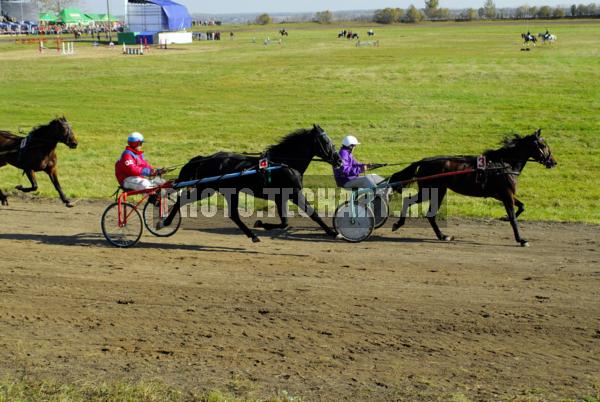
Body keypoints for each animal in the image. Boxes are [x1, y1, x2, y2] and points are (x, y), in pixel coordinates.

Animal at [161, 124, 342, 242]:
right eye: (326, 142)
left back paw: (252, 235)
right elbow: (312, 214)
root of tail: (207, 158)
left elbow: (285, 222)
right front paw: (333, 232)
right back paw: (165, 222)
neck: (284, 163)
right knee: (182, 201)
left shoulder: (282, 196)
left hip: (221, 190)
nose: (339, 160)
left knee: (232, 214)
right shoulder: (293, 193)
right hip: (207, 188)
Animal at [390, 130, 556, 247]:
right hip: (430, 190)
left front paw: (504, 218)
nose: (553, 162)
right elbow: (514, 219)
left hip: (438, 190)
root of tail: (424, 160)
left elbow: (522, 206)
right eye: (543, 145)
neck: (504, 164)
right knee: (411, 203)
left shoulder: (502, 195)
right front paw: (521, 239)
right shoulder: (506, 194)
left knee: (427, 213)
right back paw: (399, 224)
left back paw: (442, 236)